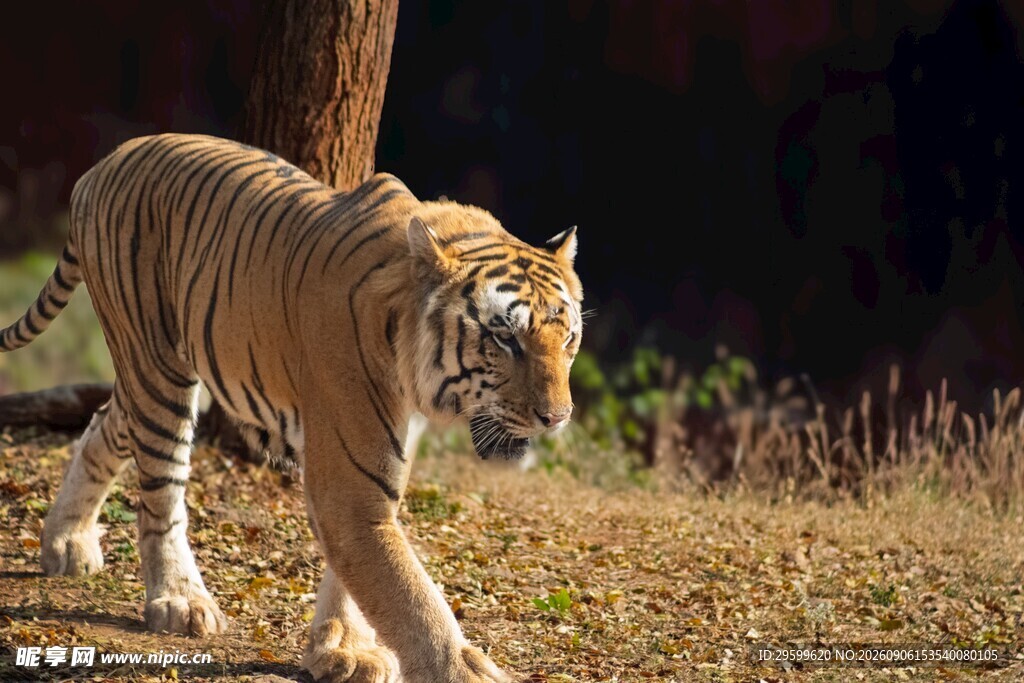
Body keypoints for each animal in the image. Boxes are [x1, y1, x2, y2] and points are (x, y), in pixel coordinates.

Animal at [0, 134, 583, 682]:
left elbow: (357, 571)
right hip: (157, 364)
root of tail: (107, 160)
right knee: (161, 493)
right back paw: (180, 600)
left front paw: (342, 649)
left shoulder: (372, 469)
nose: (557, 418)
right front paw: (459, 669)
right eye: (505, 338)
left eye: (569, 338)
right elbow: (408, 593)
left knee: (104, 425)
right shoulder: (349, 475)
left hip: (148, 370)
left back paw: (66, 542)